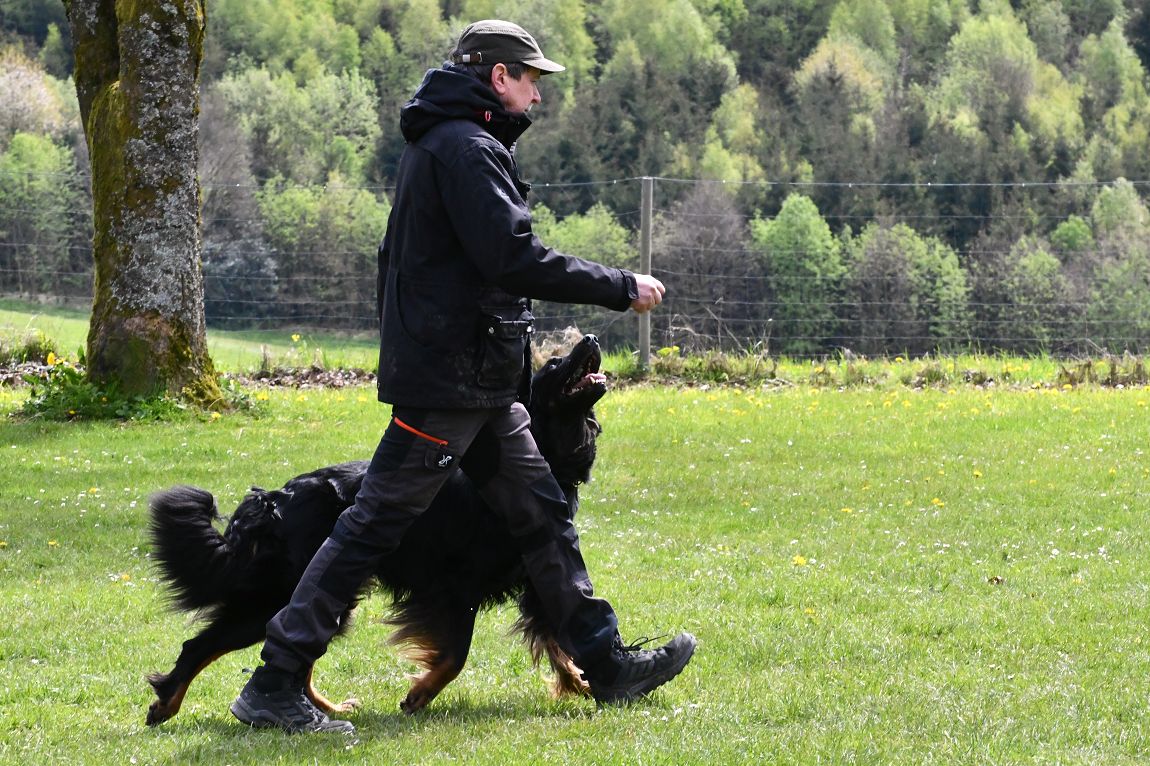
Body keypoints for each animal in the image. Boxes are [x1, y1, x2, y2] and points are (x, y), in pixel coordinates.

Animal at [147, 333, 611, 722]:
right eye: (555, 364)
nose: (590, 337)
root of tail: (275, 499)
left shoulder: (533, 576)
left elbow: (559, 635)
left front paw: (584, 682)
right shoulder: (453, 586)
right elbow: (456, 653)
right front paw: (420, 694)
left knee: (293, 655)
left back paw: (324, 710)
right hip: (282, 592)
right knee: (207, 645)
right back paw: (169, 703)